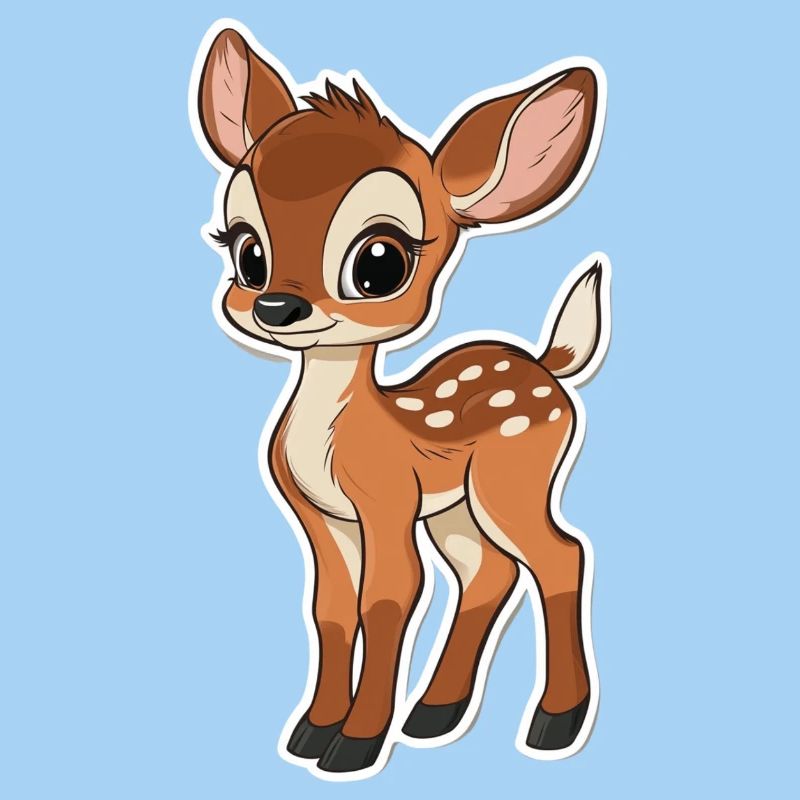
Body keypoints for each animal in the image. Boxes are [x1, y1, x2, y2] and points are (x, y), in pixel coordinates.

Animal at [192, 23, 608, 777]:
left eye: (379, 262)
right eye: (246, 250)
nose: (276, 306)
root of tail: (547, 364)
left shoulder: (385, 499)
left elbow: (388, 600)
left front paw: (354, 745)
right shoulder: (320, 514)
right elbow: (331, 607)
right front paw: (311, 732)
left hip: (513, 478)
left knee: (560, 556)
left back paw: (554, 724)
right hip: (456, 507)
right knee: (488, 571)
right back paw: (434, 714)